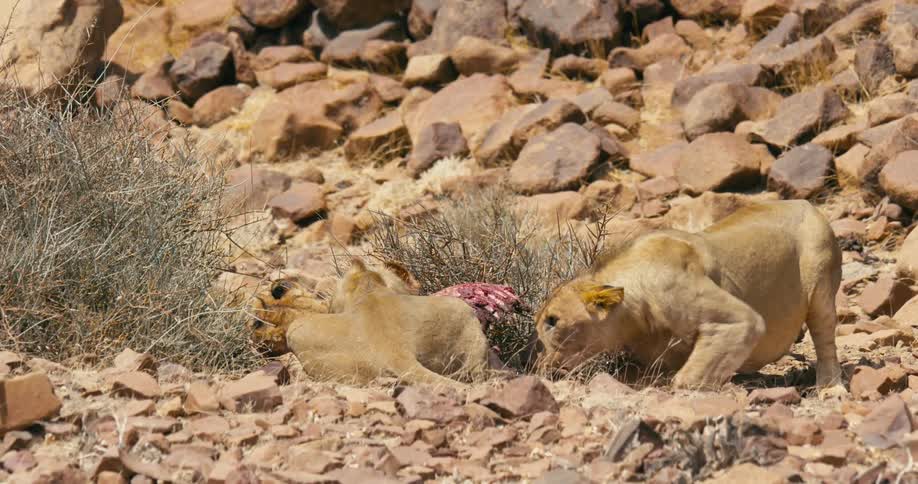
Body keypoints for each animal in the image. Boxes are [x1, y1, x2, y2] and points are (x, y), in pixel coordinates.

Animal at [534, 199, 844, 393]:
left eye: (552, 321)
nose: (541, 366)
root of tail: (806, 203)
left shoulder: (735, 321)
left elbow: (690, 377)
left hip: (820, 283)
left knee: (825, 339)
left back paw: (830, 387)